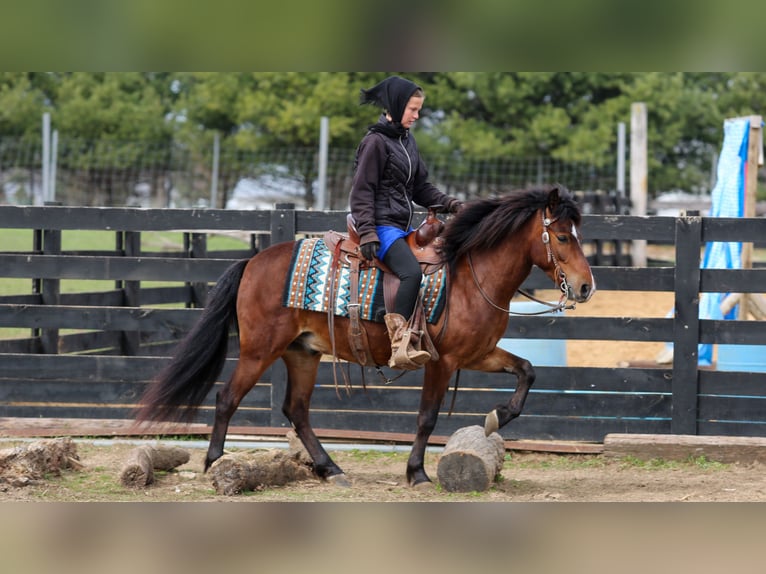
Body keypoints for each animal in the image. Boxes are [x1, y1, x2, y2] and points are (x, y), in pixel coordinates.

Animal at [135, 183, 595, 487]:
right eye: (562, 236)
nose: (585, 286)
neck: (471, 276)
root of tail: (252, 262)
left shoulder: (478, 354)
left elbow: (528, 370)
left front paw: (498, 416)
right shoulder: (442, 360)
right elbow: (427, 417)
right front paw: (417, 472)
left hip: (302, 353)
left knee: (296, 410)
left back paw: (330, 468)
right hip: (259, 351)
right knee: (227, 398)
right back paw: (214, 463)